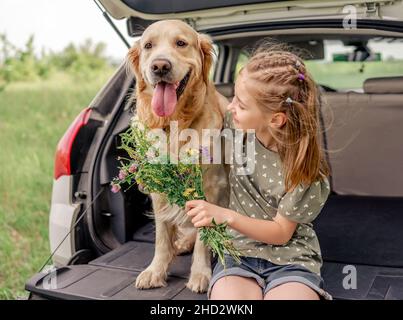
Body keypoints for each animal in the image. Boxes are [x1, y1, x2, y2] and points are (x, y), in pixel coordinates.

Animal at [128, 20, 230, 294]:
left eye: (181, 43)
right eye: (148, 46)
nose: (160, 66)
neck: (175, 123)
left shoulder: (211, 186)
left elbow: (205, 236)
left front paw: (200, 274)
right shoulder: (158, 188)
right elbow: (162, 236)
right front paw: (156, 270)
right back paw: (183, 243)